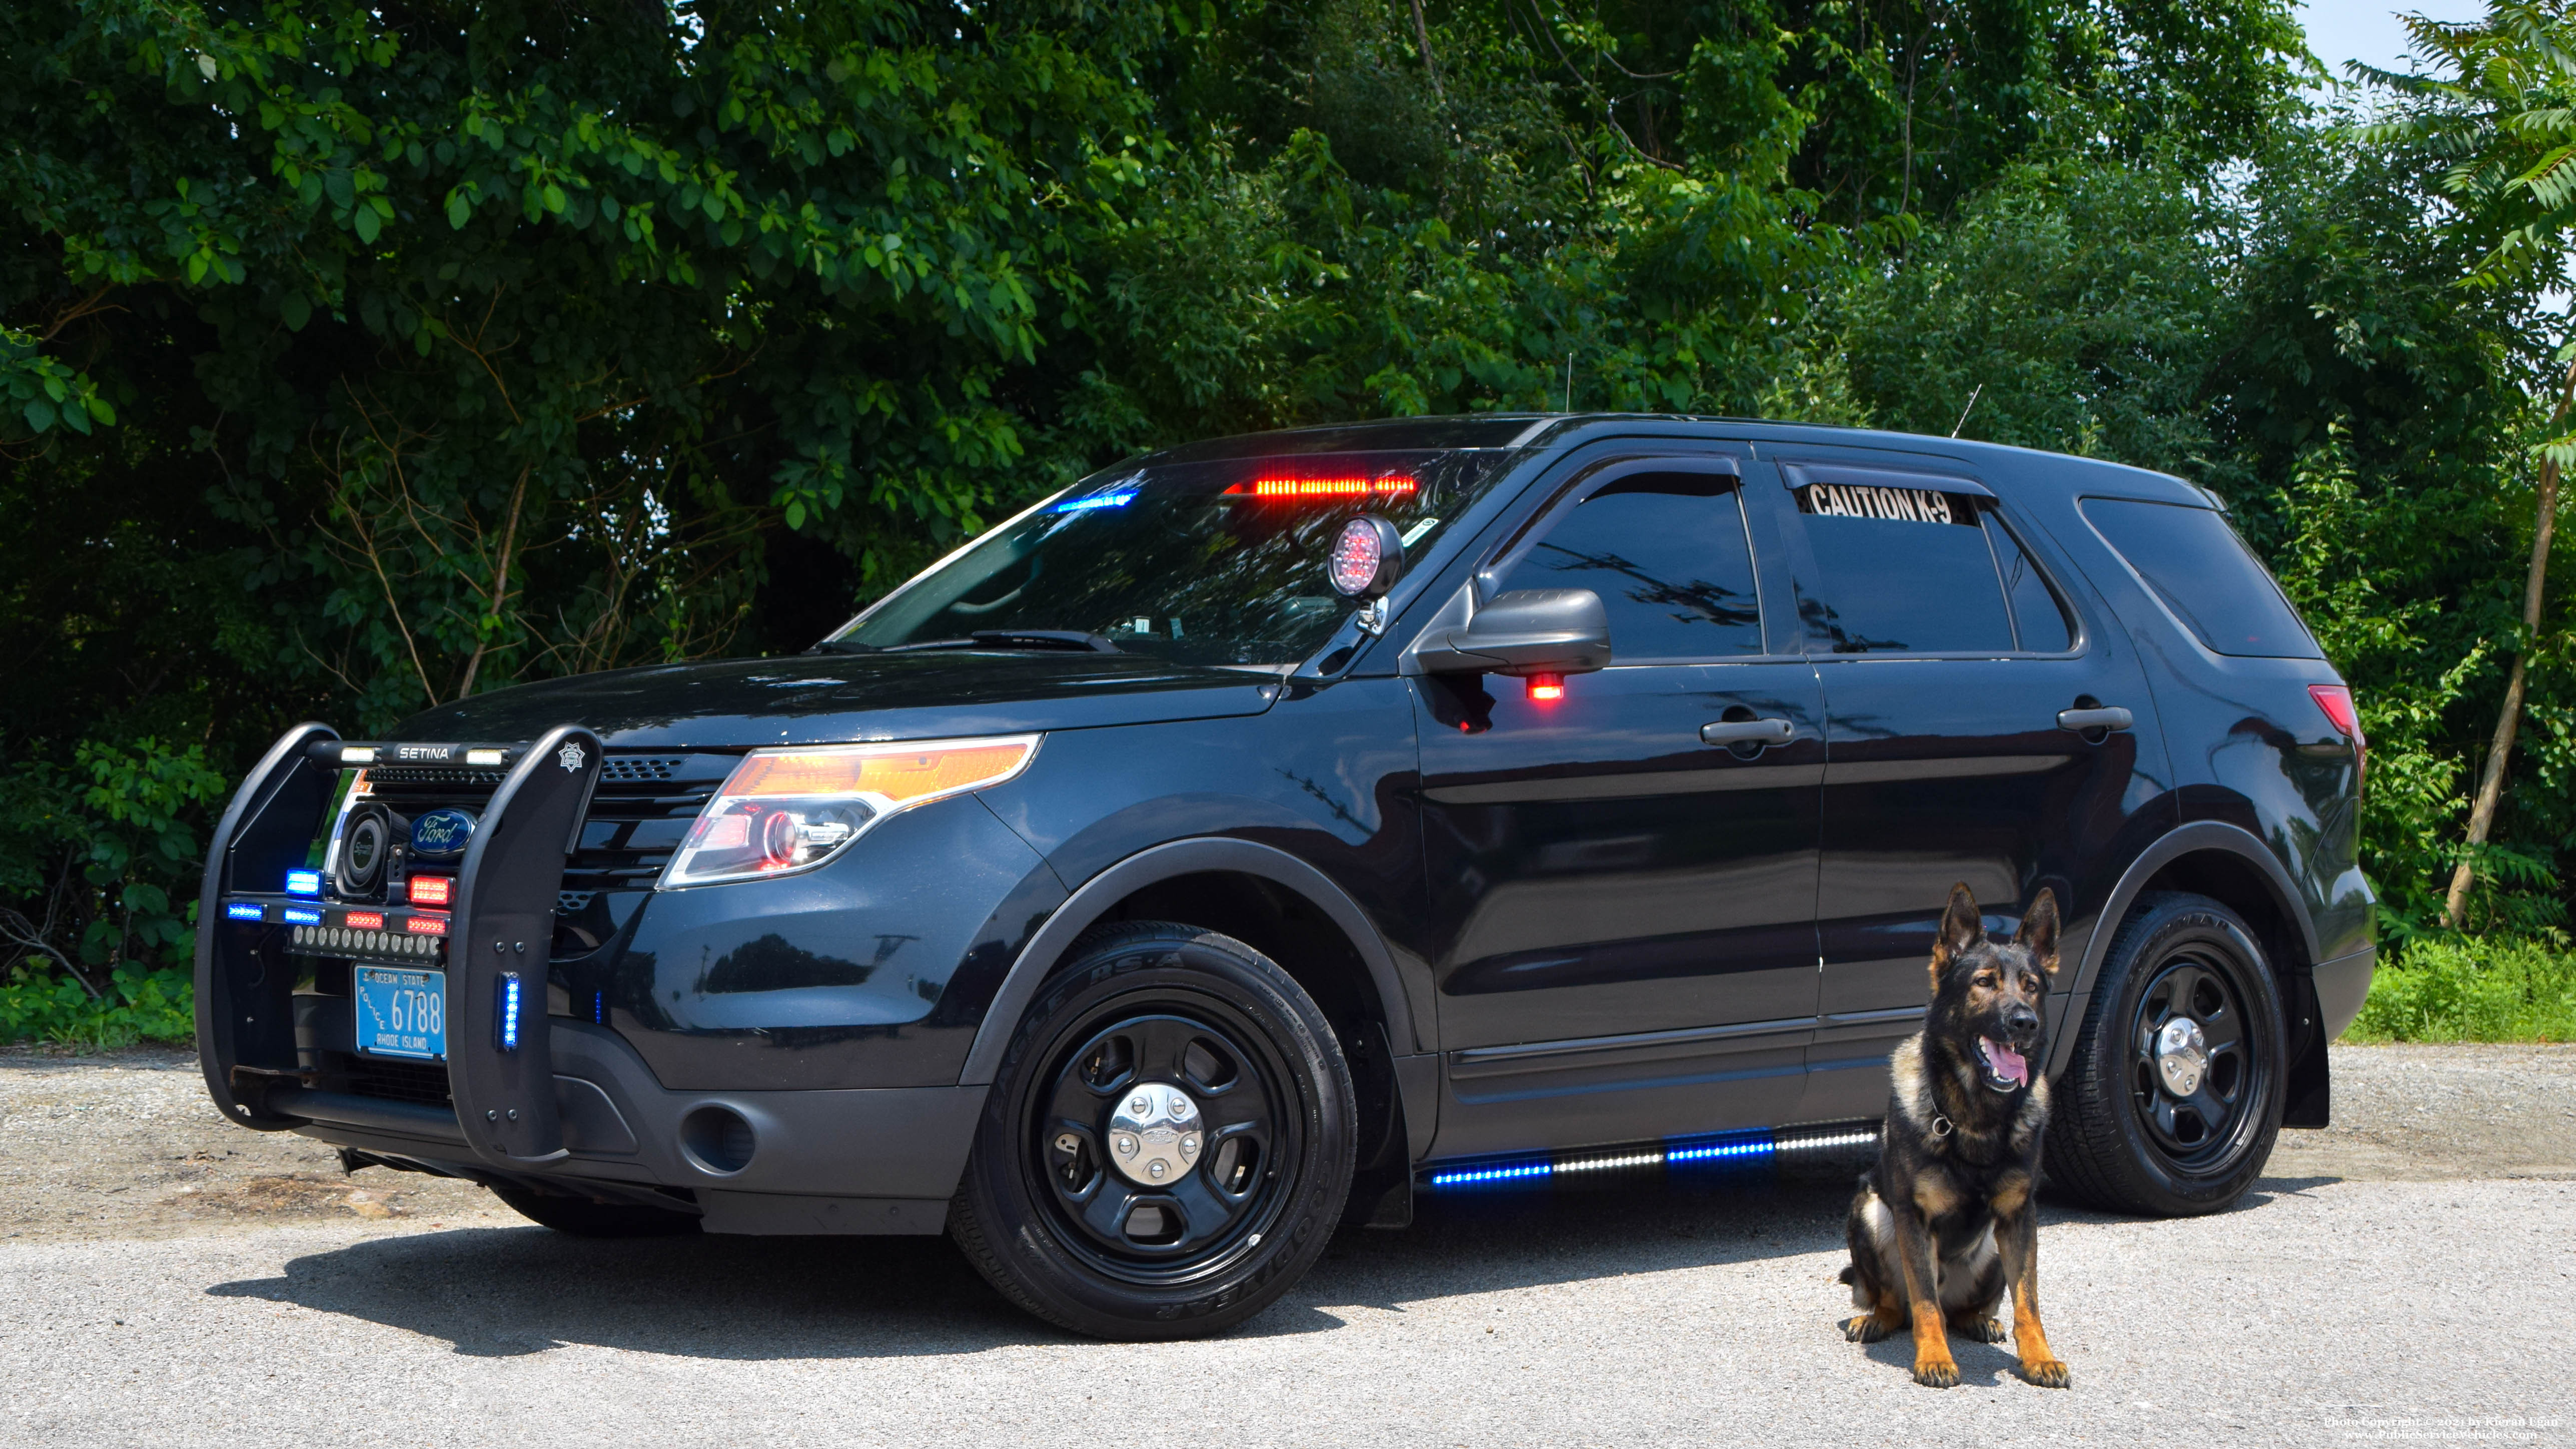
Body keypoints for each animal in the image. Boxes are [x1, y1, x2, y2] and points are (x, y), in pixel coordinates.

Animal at [1834, 877, 2071, 1382]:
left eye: (2031, 986)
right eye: (1983, 983)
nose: (2024, 1023)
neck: (1977, 1118)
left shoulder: (2019, 1219)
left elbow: (2028, 1302)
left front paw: (2038, 1357)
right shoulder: (1913, 1218)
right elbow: (1925, 1303)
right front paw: (1935, 1358)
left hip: (1992, 1252)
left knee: (1963, 1309)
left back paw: (1979, 1321)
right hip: (1870, 1213)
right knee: (1901, 1303)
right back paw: (1876, 1320)